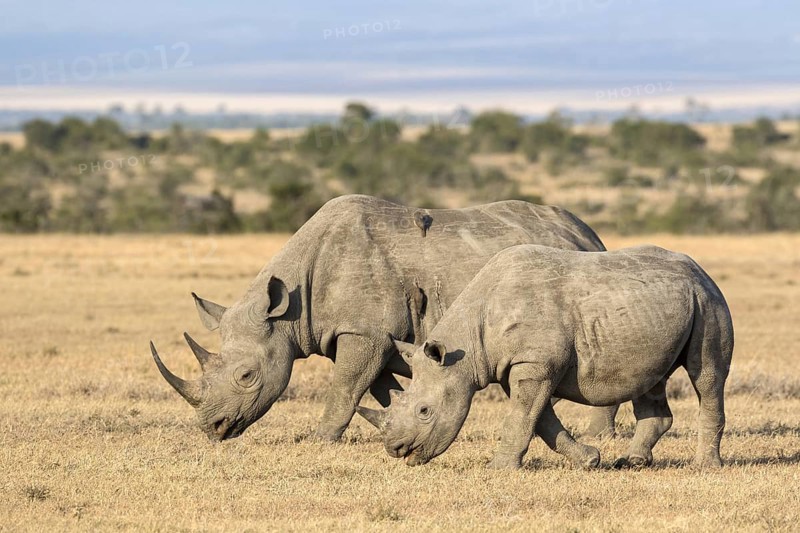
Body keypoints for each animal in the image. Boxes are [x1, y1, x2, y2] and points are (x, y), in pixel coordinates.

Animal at [150, 194, 618, 441]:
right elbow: (381, 389)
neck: (289, 311)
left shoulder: (364, 332)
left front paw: (321, 440)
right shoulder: (374, 336)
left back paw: (598, 438)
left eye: (247, 376)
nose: (213, 427)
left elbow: (344, 387)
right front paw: (398, 427)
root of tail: (590, 233)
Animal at [363, 244, 734, 469]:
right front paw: (589, 460)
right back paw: (631, 462)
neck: (466, 346)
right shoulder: (524, 366)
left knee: (707, 375)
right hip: (658, 309)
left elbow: (521, 417)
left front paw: (498, 468)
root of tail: (699, 268)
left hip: (707, 300)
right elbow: (539, 420)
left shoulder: (535, 365)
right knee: (649, 380)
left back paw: (706, 467)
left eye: (424, 411)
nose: (396, 449)